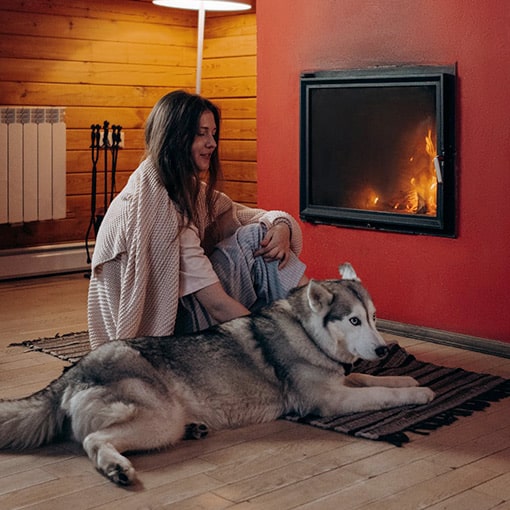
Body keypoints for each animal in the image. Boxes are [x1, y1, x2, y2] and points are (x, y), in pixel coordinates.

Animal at [0, 264, 434, 484]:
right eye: (354, 320)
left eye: (374, 318)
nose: (383, 349)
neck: (307, 333)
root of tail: (72, 372)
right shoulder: (331, 400)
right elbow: (381, 394)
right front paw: (421, 394)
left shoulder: (341, 381)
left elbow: (375, 381)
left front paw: (408, 379)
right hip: (158, 419)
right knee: (93, 440)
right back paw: (116, 468)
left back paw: (193, 429)